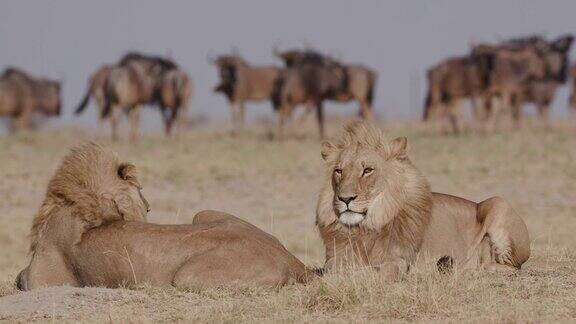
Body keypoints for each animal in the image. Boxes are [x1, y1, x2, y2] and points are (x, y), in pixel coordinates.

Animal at [18, 143, 312, 290]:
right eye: (140, 191)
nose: (149, 207)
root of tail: (293, 260)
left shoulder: (41, 278)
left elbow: (21, 278)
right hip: (203, 213)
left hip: (188, 277)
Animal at [318, 121, 528, 278]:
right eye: (339, 171)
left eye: (368, 170)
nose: (345, 198)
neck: (366, 227)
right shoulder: (334, 257)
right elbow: (332, 268)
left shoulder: (402, 260)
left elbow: (386, 271)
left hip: (498, 203)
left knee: (510, 266)